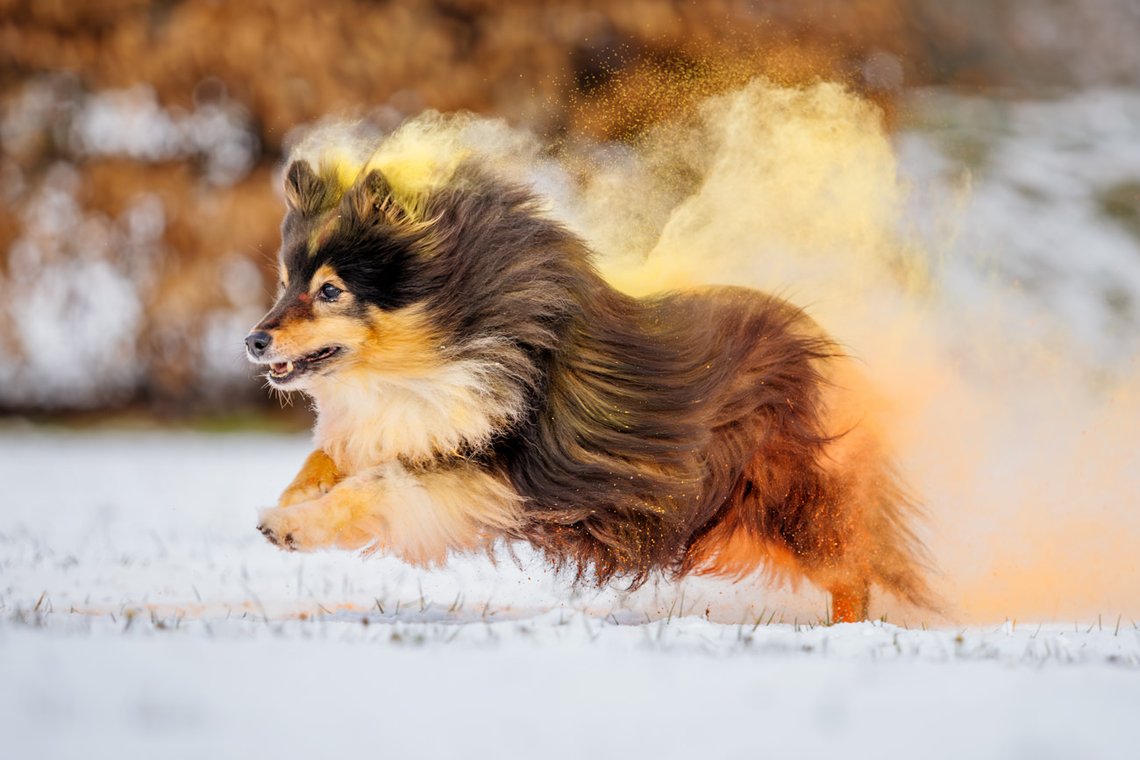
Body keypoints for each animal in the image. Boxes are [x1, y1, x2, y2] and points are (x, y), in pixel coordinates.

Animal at [245, 126, 930, 624]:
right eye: (285, 282)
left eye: (331, 290)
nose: (254, 340)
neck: (456, 333)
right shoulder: (415, 424)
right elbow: (329, 459)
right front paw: (291, 503)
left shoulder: (489, 474)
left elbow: (375, 487)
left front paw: (289, 527)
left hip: (789, 499)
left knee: (853, 566)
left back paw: (851, 630)